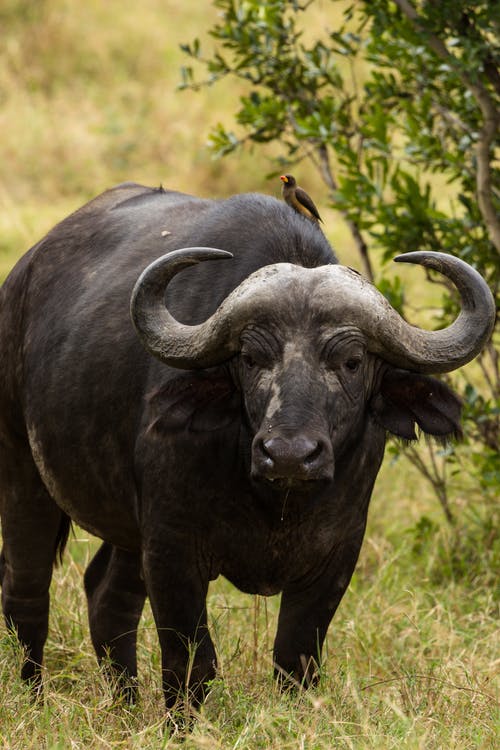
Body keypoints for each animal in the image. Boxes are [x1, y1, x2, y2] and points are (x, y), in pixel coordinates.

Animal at [0, 182, 496, 712]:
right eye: (252, 357)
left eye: (353, 360)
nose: (290, 454)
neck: (274, 501)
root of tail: (21, 277)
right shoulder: (172, 548)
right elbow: (191, 661)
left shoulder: (337, 555)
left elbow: (296, 660)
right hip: (23, 472)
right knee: (26, 590)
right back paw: (33, 696)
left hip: (126, 530)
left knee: (107, 596)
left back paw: (126, 703)